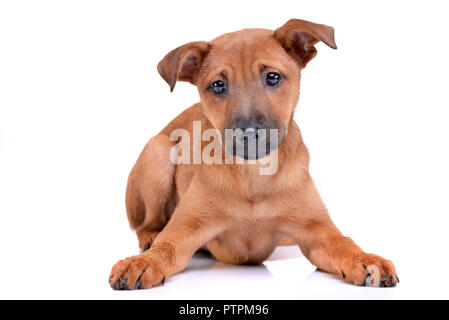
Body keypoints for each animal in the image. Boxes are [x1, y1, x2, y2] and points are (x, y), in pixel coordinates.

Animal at [110, 18, 398, 290]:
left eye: (272, 77)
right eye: (218, 85)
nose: (248, 133)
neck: (253, 175)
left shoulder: (315, 229)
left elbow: (343, 242)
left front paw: (365, 259)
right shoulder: (186, 226)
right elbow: (166, 248)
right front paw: (143, 263)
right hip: (157, 153)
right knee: (145, 225)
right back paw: (149, 239)